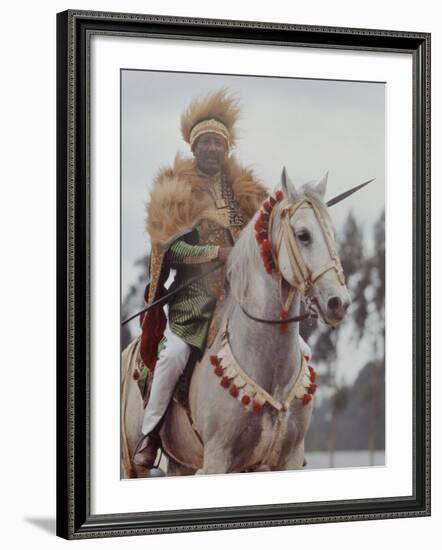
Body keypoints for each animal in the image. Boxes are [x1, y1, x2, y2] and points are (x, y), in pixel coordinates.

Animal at [121, 168, 352, 478]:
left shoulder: (286, 458)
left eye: (332, 234)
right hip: (134, 465)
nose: (339, 303)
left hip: (181, 463)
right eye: (303, 235)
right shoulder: (218, 458)